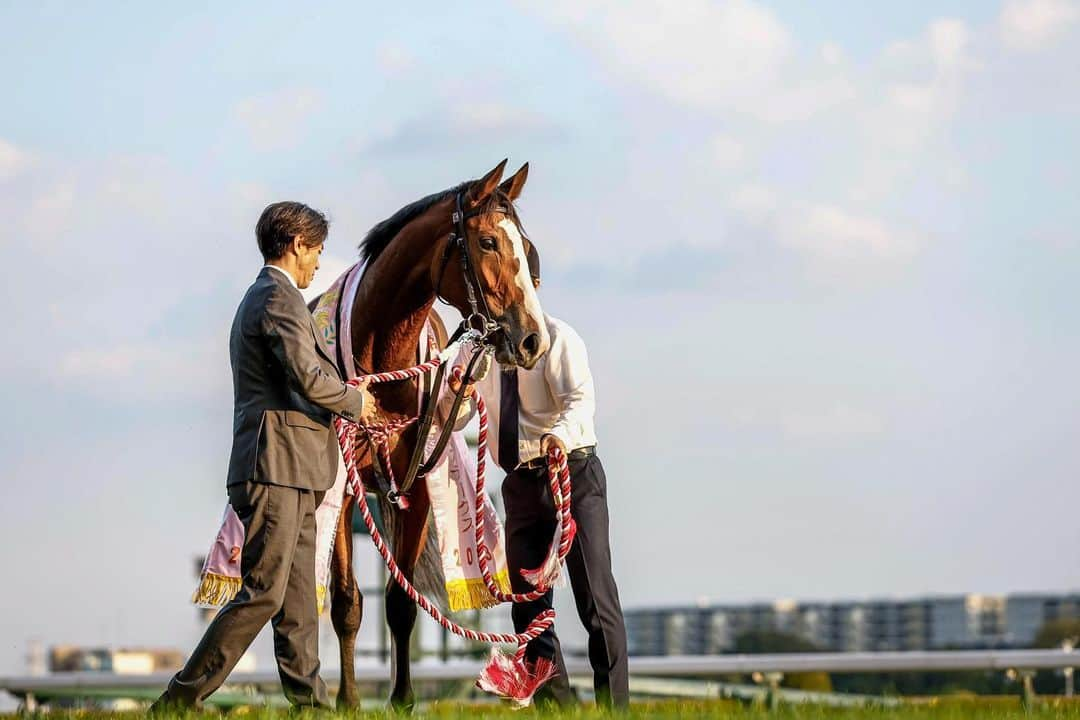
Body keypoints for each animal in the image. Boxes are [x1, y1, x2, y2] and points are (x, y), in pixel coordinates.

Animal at [315, 158, 544, 708]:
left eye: (526, 248)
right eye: (488, 242)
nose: (531, 340)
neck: (381, 360)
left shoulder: (416, 485)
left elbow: (401, 601)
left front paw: (402, 698)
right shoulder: (347, 488)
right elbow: (347, 601)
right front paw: (349, 700)